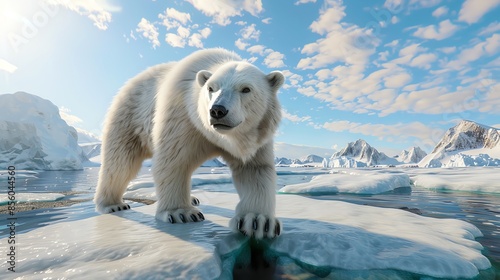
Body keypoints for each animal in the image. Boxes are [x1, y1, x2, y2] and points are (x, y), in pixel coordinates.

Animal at [94, 48, 286, 238]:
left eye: (246, 89)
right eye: (211, 88)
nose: (217, 110)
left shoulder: (257, 137)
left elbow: (255, 170)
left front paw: (258, 222)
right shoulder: (182, 116)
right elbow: (173, 161)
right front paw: (181, 213)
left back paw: (193, 198)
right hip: (130, 117)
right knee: (121, 163)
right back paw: (113, 204)